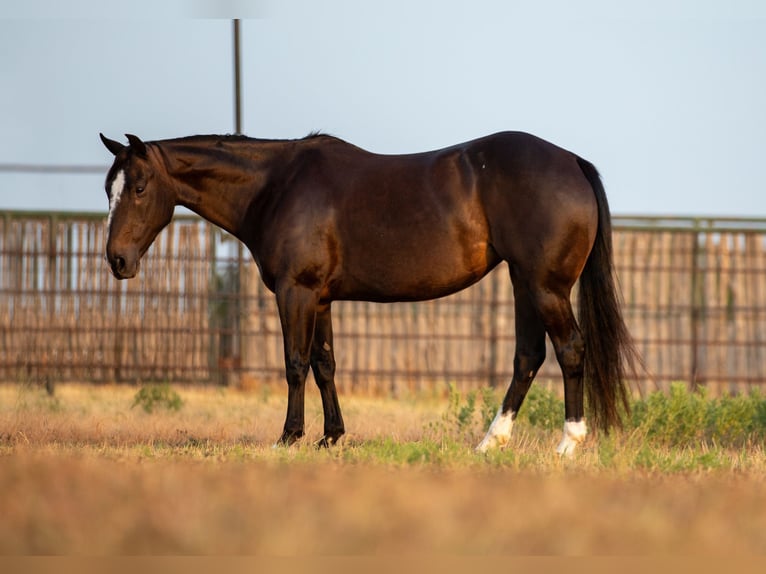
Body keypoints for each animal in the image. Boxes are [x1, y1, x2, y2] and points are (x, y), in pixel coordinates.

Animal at [102, 132, 640, 460]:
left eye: (140, 187)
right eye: (109, 188)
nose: (117, 260)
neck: (276, 186)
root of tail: (572, 162)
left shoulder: (295, 292)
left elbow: (294, 363)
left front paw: (289, 437)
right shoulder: (320, 298)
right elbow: (324, 364)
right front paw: (331, 436)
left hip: (544, 287)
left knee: (570, 350)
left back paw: (568, 444)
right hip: (523, 284)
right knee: (528, 357)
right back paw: (491, 443)